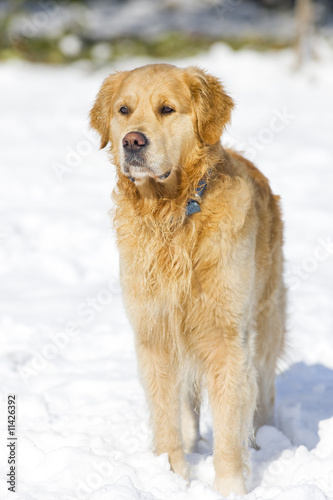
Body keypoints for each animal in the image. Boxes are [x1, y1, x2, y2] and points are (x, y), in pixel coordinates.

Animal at [89, 63, 284, 496]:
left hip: (265, 322)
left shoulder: (226, 337)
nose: (132, 141)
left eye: (167, 109)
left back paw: (266, 439)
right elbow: (166, 418)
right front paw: (171, 476)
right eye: (124, 110)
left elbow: (229, 427)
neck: (172, 214)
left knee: (263, 391)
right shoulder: (155, 334)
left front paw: (230, 487)